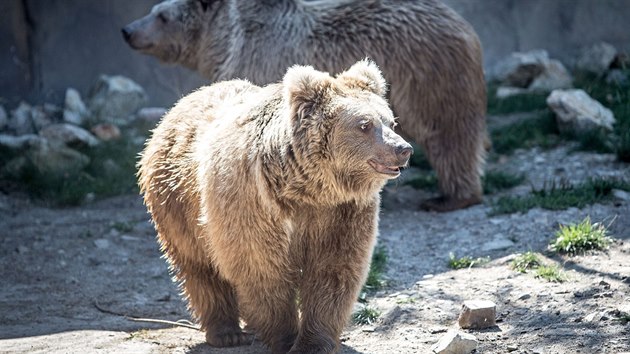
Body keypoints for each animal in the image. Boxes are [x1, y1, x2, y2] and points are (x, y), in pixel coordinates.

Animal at [124, 0, 488, 213]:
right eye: (154, 10)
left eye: (161, 16)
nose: (128, 30)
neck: (224, 40)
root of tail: (463, 24)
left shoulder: (259, 63)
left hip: (425, 75)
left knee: (449, 133)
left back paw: (448, 197)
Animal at [138, 59, 414, 352]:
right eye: (364, 125)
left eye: (390, 121)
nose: (403, 149)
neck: (307, 189)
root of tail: (183, 101)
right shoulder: (252, 203)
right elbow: (262, 269)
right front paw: (284, 336)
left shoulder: (342, 212)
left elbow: (334, 269)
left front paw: (314, 342)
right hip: (177, 202)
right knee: (199, 268)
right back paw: (226, 333)